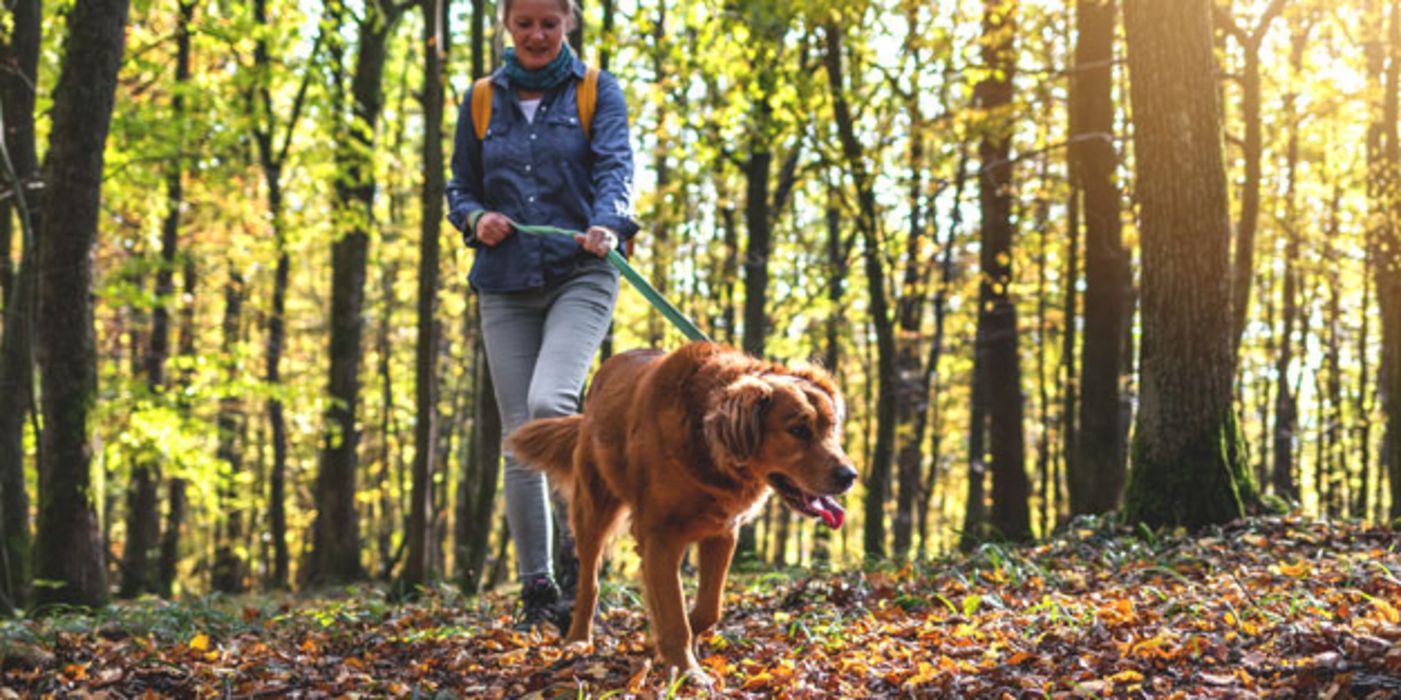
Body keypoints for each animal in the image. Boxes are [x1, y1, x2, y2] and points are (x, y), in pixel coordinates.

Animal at [504, 341, 851, 674]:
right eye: (798, 430)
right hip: (592, 511)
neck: (707, 445)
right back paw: (577, 640)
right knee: (589, 583)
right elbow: (674, 615)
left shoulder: (722, 533)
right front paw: (686, 670)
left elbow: (708, 609)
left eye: (832, 426)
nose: (850, 475)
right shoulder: (660, 536)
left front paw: (663, 644)